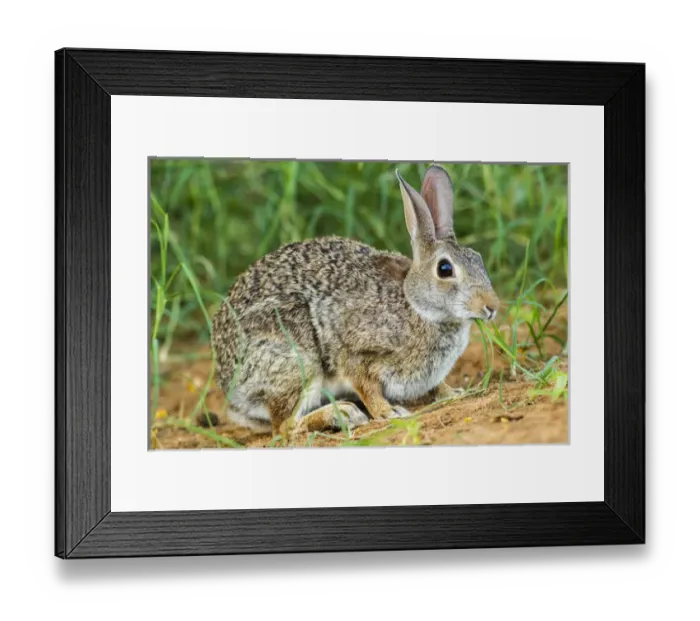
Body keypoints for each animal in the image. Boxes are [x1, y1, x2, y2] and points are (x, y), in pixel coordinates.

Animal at [210, 165, 500, 437]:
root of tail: (231, 388)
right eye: (445, 269)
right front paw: (389, 412)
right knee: (284, 426)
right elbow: (367, 387)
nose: (491, 307)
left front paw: (454, 393)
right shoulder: (356, 353)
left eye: (478, 259)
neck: (417, 306)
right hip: (296, 358)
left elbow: (437, 385)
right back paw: (340, 415)